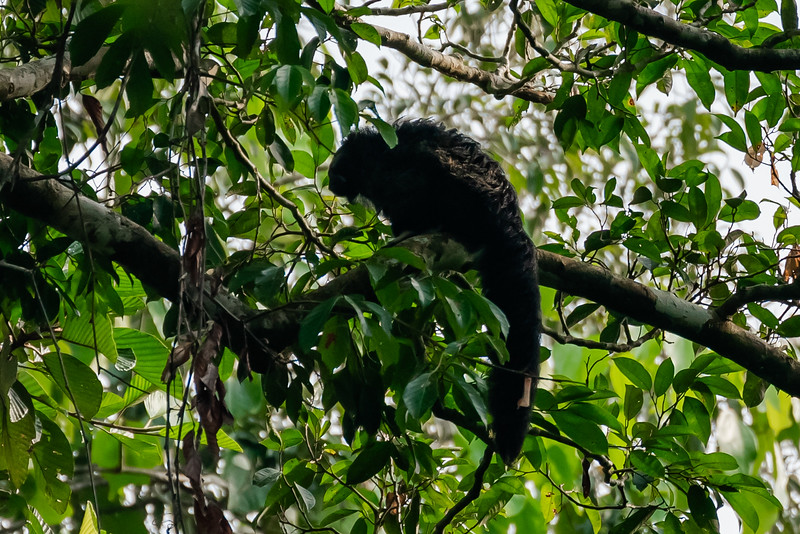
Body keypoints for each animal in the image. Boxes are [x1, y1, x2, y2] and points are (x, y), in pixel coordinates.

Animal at [328, 119, 541, 464]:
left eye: (338, 167)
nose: (331, 179)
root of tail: (509, 219)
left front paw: (405, 229)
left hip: (466, 191)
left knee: (426, 166)